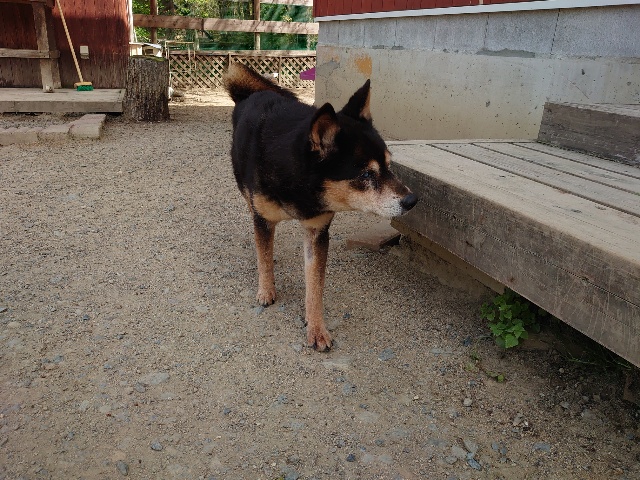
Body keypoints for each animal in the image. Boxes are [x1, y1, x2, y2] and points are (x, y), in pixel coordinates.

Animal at [224, 63, 418, 351]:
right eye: (366, 175)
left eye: (388, 166)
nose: (411, 200)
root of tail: (253, 92)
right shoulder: (264, 216)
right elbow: (264, 252)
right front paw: (266, 288)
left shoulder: (318, 231)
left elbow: (315, 285)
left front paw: (316, 328)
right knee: (257, 227)